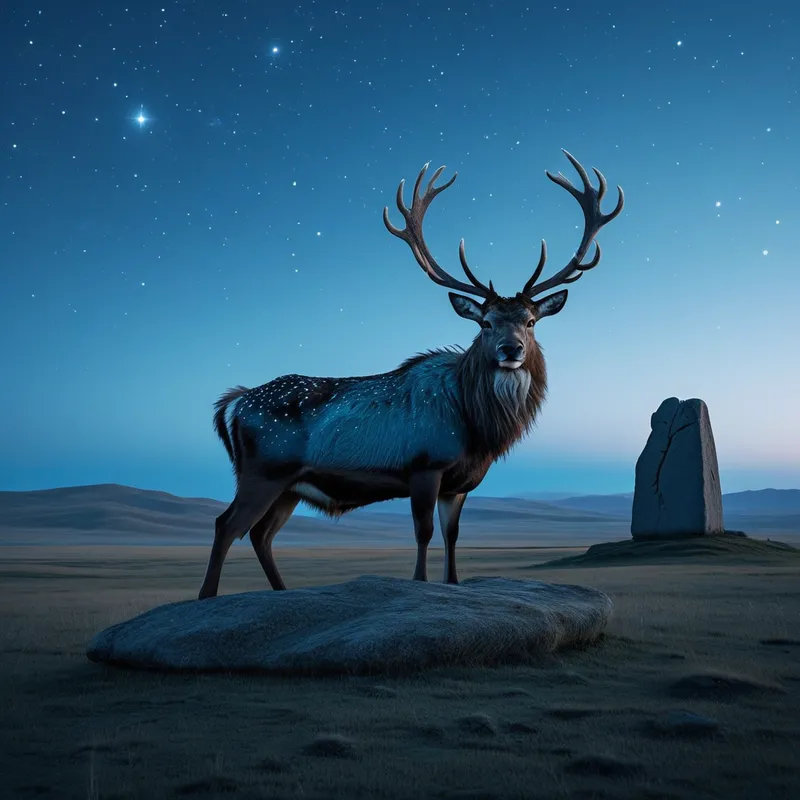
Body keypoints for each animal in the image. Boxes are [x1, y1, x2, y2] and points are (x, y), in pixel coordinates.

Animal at [198, 150, 624, 599]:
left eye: (530, 321)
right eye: (485, 323)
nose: (512, 350)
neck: (477, 428)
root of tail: (234, 403)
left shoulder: (459, 484)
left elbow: (452, 536)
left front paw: (452, 583)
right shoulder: (424, 464)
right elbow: (423, 533)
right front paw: (420, 582)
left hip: (289, 486)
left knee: (260, 534)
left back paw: (281, 592)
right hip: (262, 472)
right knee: (227, 525)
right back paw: (208, 595)